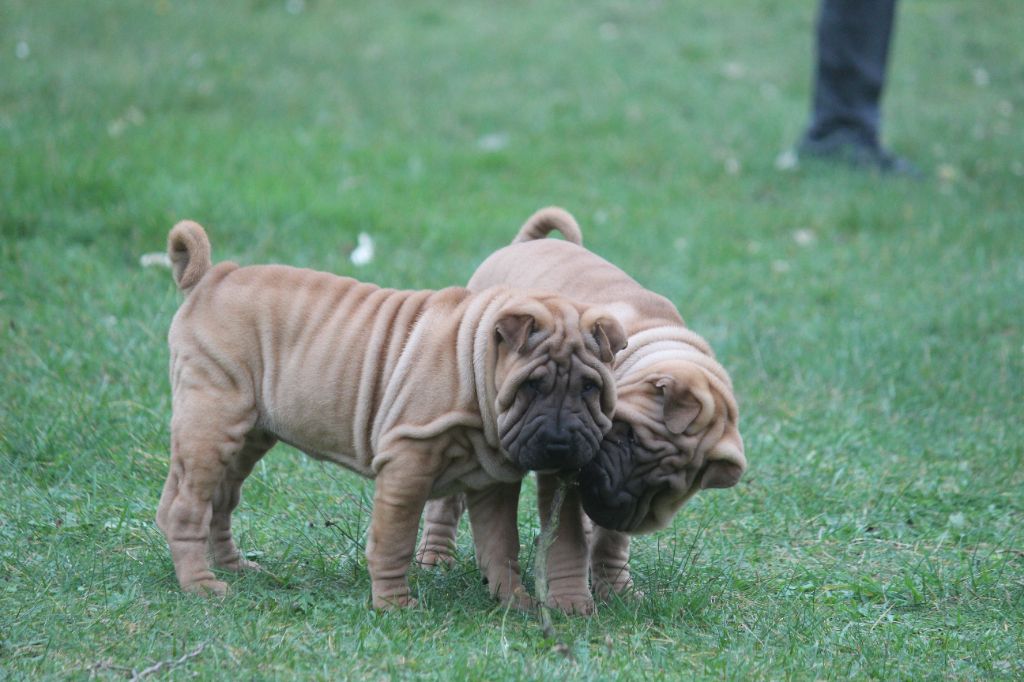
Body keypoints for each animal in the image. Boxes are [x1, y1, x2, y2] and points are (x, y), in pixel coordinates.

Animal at [156, 220, 626, 606]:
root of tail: (211, 277)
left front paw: (516, 604)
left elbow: (500, 547)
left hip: (249, 433)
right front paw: (394, 605)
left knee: (218, 499)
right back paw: (202, 585)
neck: (474, 368)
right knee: (187, 504)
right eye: (532, 385)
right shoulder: (407, 461)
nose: (561, 442)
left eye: (589, 388)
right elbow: (394, 540)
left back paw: (234, 567)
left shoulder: (492, 485)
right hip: (213, 419)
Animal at [419, 205, 749, 610]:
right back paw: (435, 557)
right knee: (446, 502)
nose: (608, 497)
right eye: (627, 436)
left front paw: (617, 590)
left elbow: (610, 541)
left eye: (664, 489)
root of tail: (522, 244)